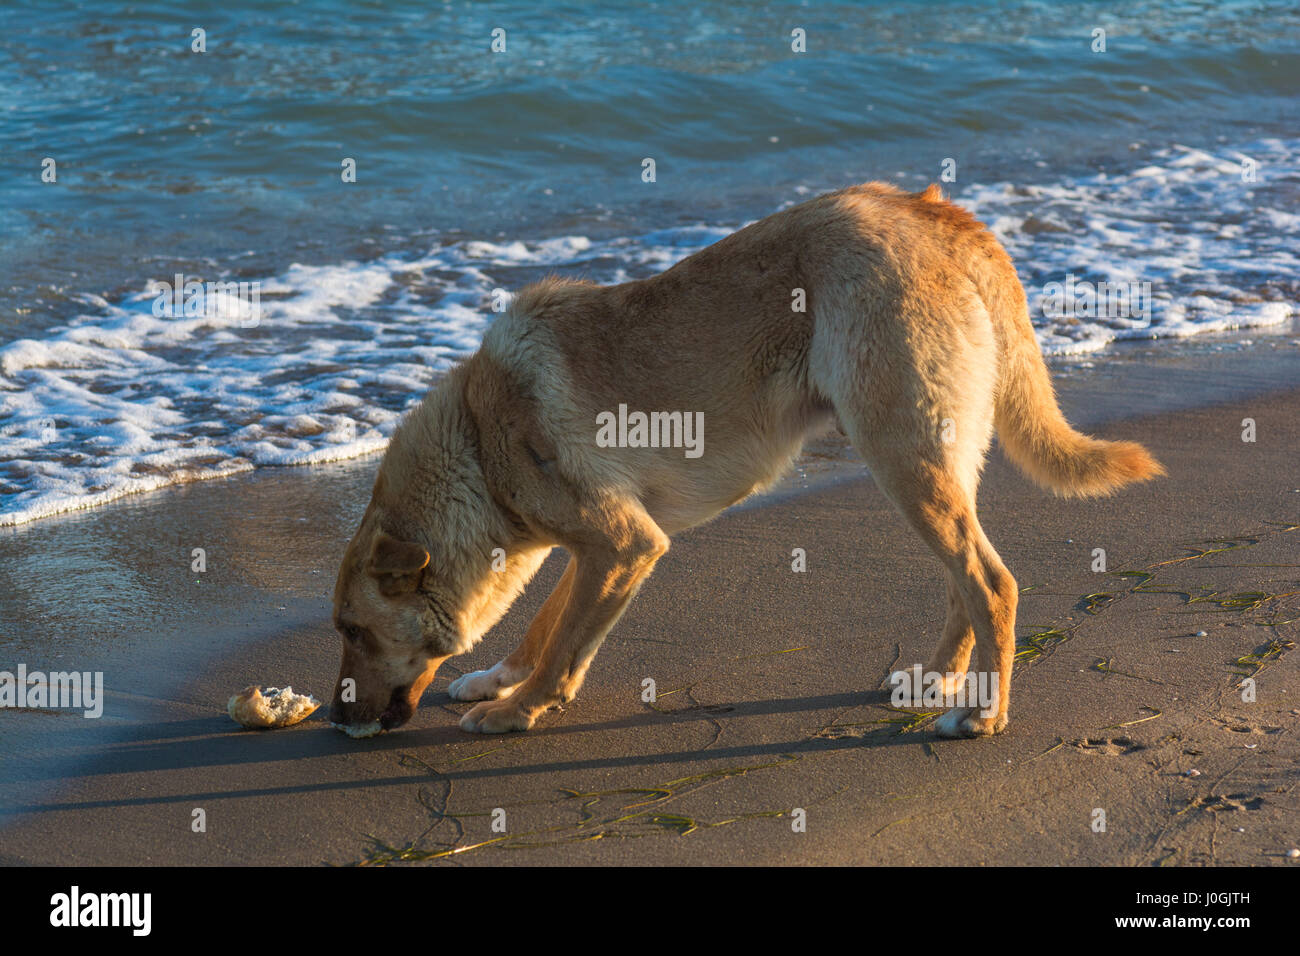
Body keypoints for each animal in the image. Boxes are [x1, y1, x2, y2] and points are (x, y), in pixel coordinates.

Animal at [330, 184, 1164, 738]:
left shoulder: (625, 545)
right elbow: (546, 624)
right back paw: (943, 679)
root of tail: (934, 212)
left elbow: (564, 648)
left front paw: (519, 710)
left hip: (901, 458)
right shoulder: (601, 547)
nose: (339, 725)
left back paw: (985, 713)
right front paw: (499, 681)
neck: (478, 437)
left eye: (354, 633)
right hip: (935, 466)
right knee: (967, 581)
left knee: (991, 583)